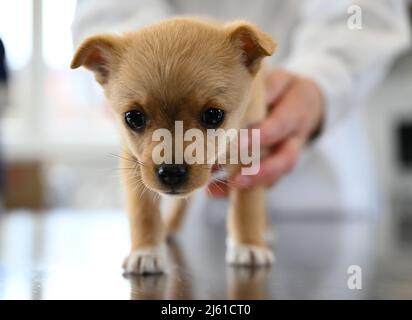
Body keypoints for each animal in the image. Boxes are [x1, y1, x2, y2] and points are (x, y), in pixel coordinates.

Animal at [71, 16, 276, 274]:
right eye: (133, 117)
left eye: (213, 115)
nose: (171, 172)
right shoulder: (133, 163)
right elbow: (143, 211)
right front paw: (146, 249)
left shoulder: (251, 157)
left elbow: (247, 206)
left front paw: (248, 244)